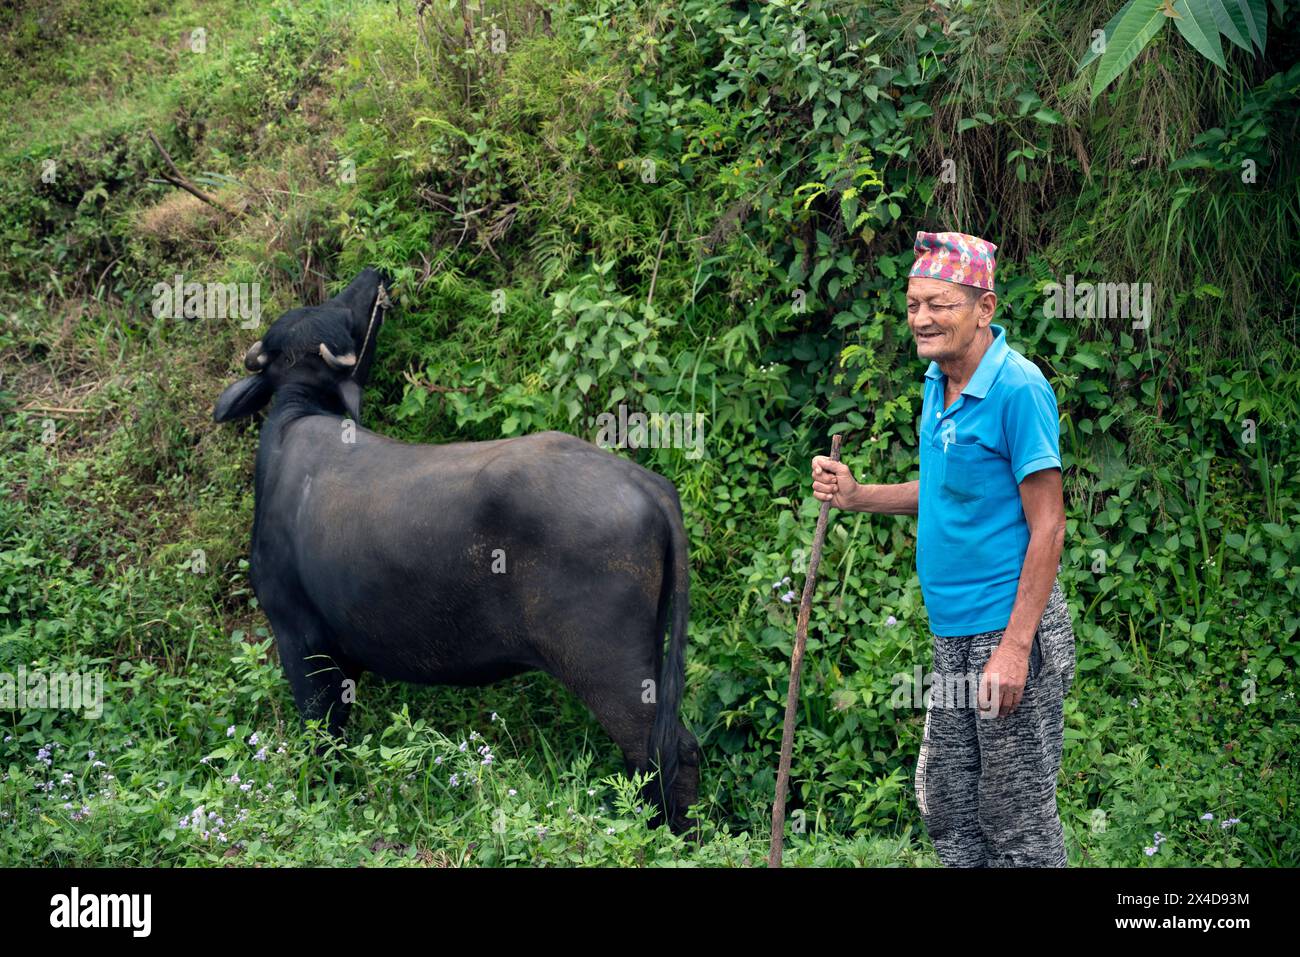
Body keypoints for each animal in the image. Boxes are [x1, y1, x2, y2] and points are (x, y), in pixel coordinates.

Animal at [213, 267, 702, 832]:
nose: (375, 274)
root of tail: (646, 482)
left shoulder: (299, 637)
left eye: (342, 315)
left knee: (660, 749)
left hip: (608, 665)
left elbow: (322, 735)